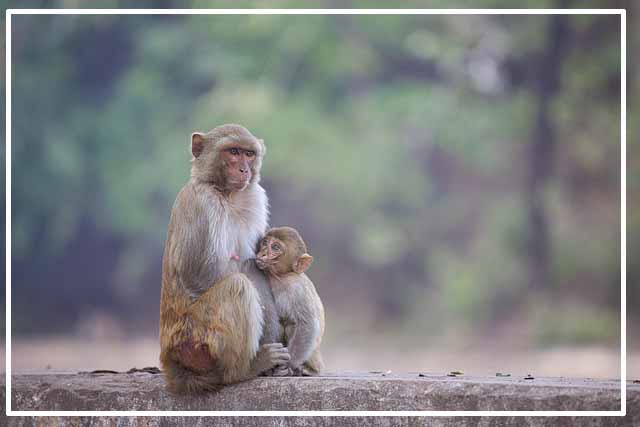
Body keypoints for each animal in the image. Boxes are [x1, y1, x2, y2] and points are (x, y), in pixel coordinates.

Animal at [159, 123, 288, 394]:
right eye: (233, 152)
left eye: (249, 154)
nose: (244, 169)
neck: (226, 194)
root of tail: (171, 361)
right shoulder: (201, 203)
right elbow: (198, 274)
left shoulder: (255, 197)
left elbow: (255, 267)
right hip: (195, 339)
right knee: (237, 286)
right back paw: (243, 370)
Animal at [255, 226, 324, 376]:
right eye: (265, 243)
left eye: (275, 247)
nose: (262, 253)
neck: (279, 277)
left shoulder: (297, 289)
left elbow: (307, 324)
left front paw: (289, 365)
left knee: (292, 325)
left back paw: (307, 369)